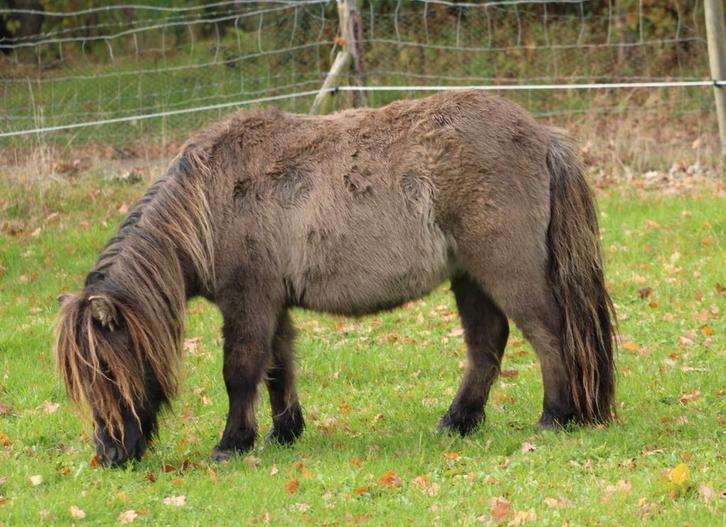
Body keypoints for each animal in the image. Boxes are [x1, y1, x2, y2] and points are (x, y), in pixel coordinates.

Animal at [55, 90, 616, 466]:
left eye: (107, 371)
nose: (110, 455)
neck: (208, 205)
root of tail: (542, 136)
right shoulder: (273, 305)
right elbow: (277, 368)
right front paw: (284, 433)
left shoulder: (247, 302)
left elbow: (239, 372)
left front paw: (231, 445)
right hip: (470, 277)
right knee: (487, 344)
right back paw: (458, 421)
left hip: (506, 270)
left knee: (547, 334)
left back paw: (555, 416)